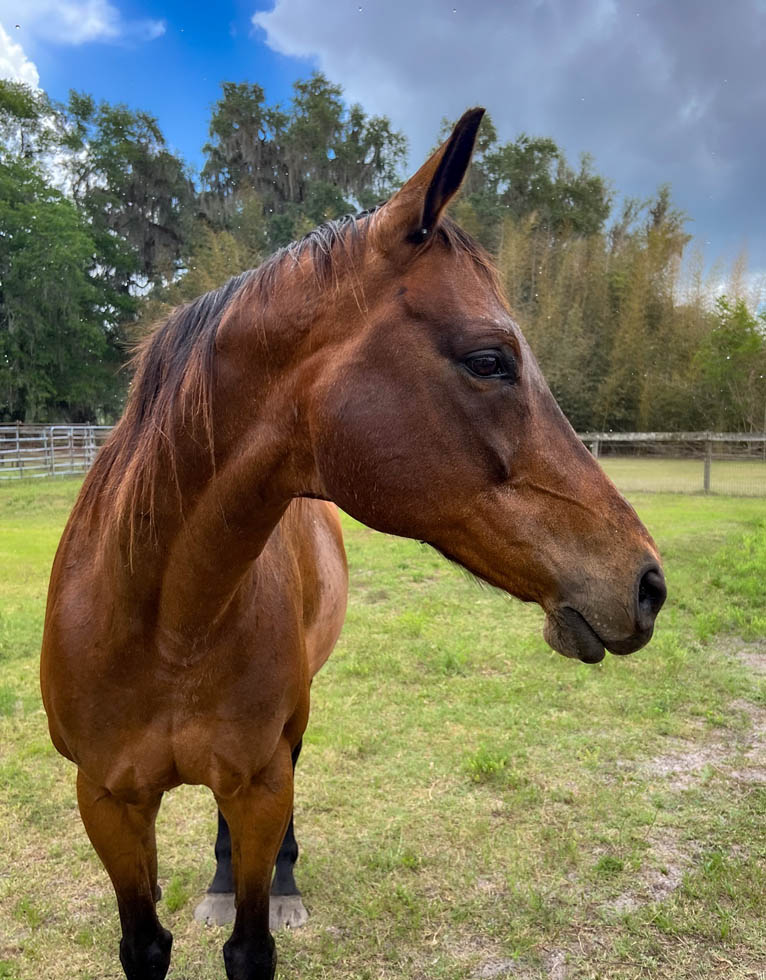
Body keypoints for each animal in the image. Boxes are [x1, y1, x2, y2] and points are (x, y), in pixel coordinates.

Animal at [40, 108, 666, 980]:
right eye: (489, 359)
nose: (647, 582)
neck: (163, 621)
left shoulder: (260, 783)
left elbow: (250, 945)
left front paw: (264, 892)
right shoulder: (106, 801)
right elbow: (145, 945)